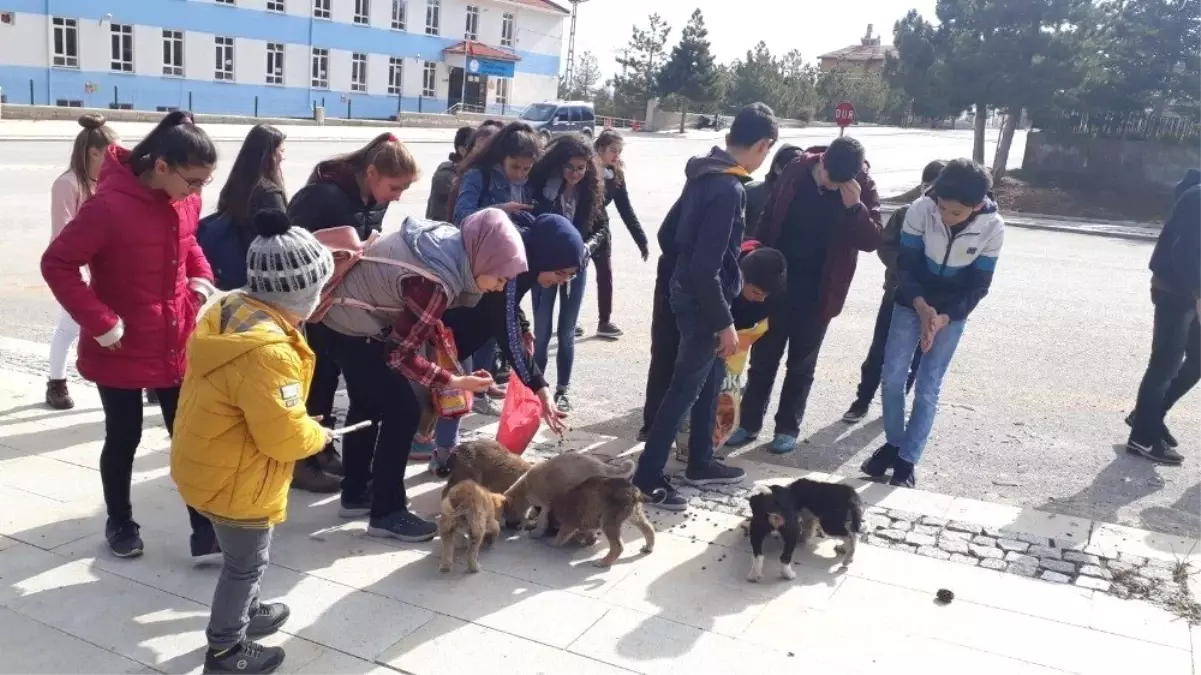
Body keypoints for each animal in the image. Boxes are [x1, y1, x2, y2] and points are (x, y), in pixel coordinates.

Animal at [506, 449, 638, 538]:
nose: (507, 525)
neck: (525, 486)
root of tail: (602, 465)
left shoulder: (545, 504)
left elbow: (542, 519)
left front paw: (536, 532)